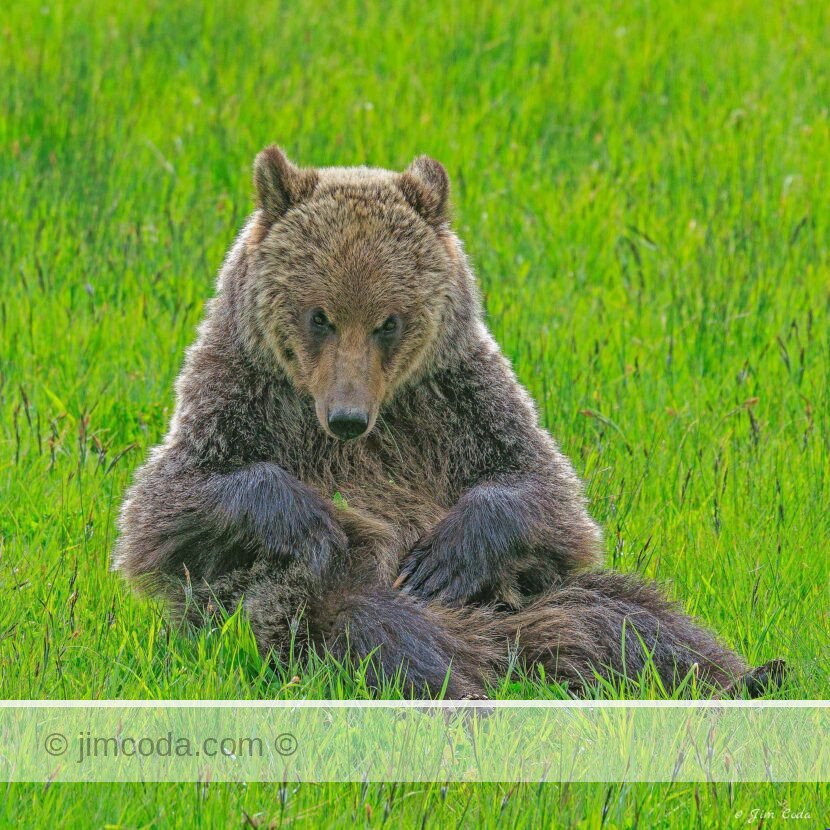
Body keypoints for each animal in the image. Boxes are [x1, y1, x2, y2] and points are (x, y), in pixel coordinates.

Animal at [113, 146, 784, 699]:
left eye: (388, 321)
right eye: (319, 316)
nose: (348, 417)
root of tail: (503, 649)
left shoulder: (455, 395)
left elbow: (546, 491)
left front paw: (446, 555)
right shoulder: (241, 391)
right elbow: (169, 505)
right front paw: (316, 524)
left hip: (534, 596)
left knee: (634, 619)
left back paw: (748, 676)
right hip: (298, 608)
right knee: (374, 631)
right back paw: (459, 692)